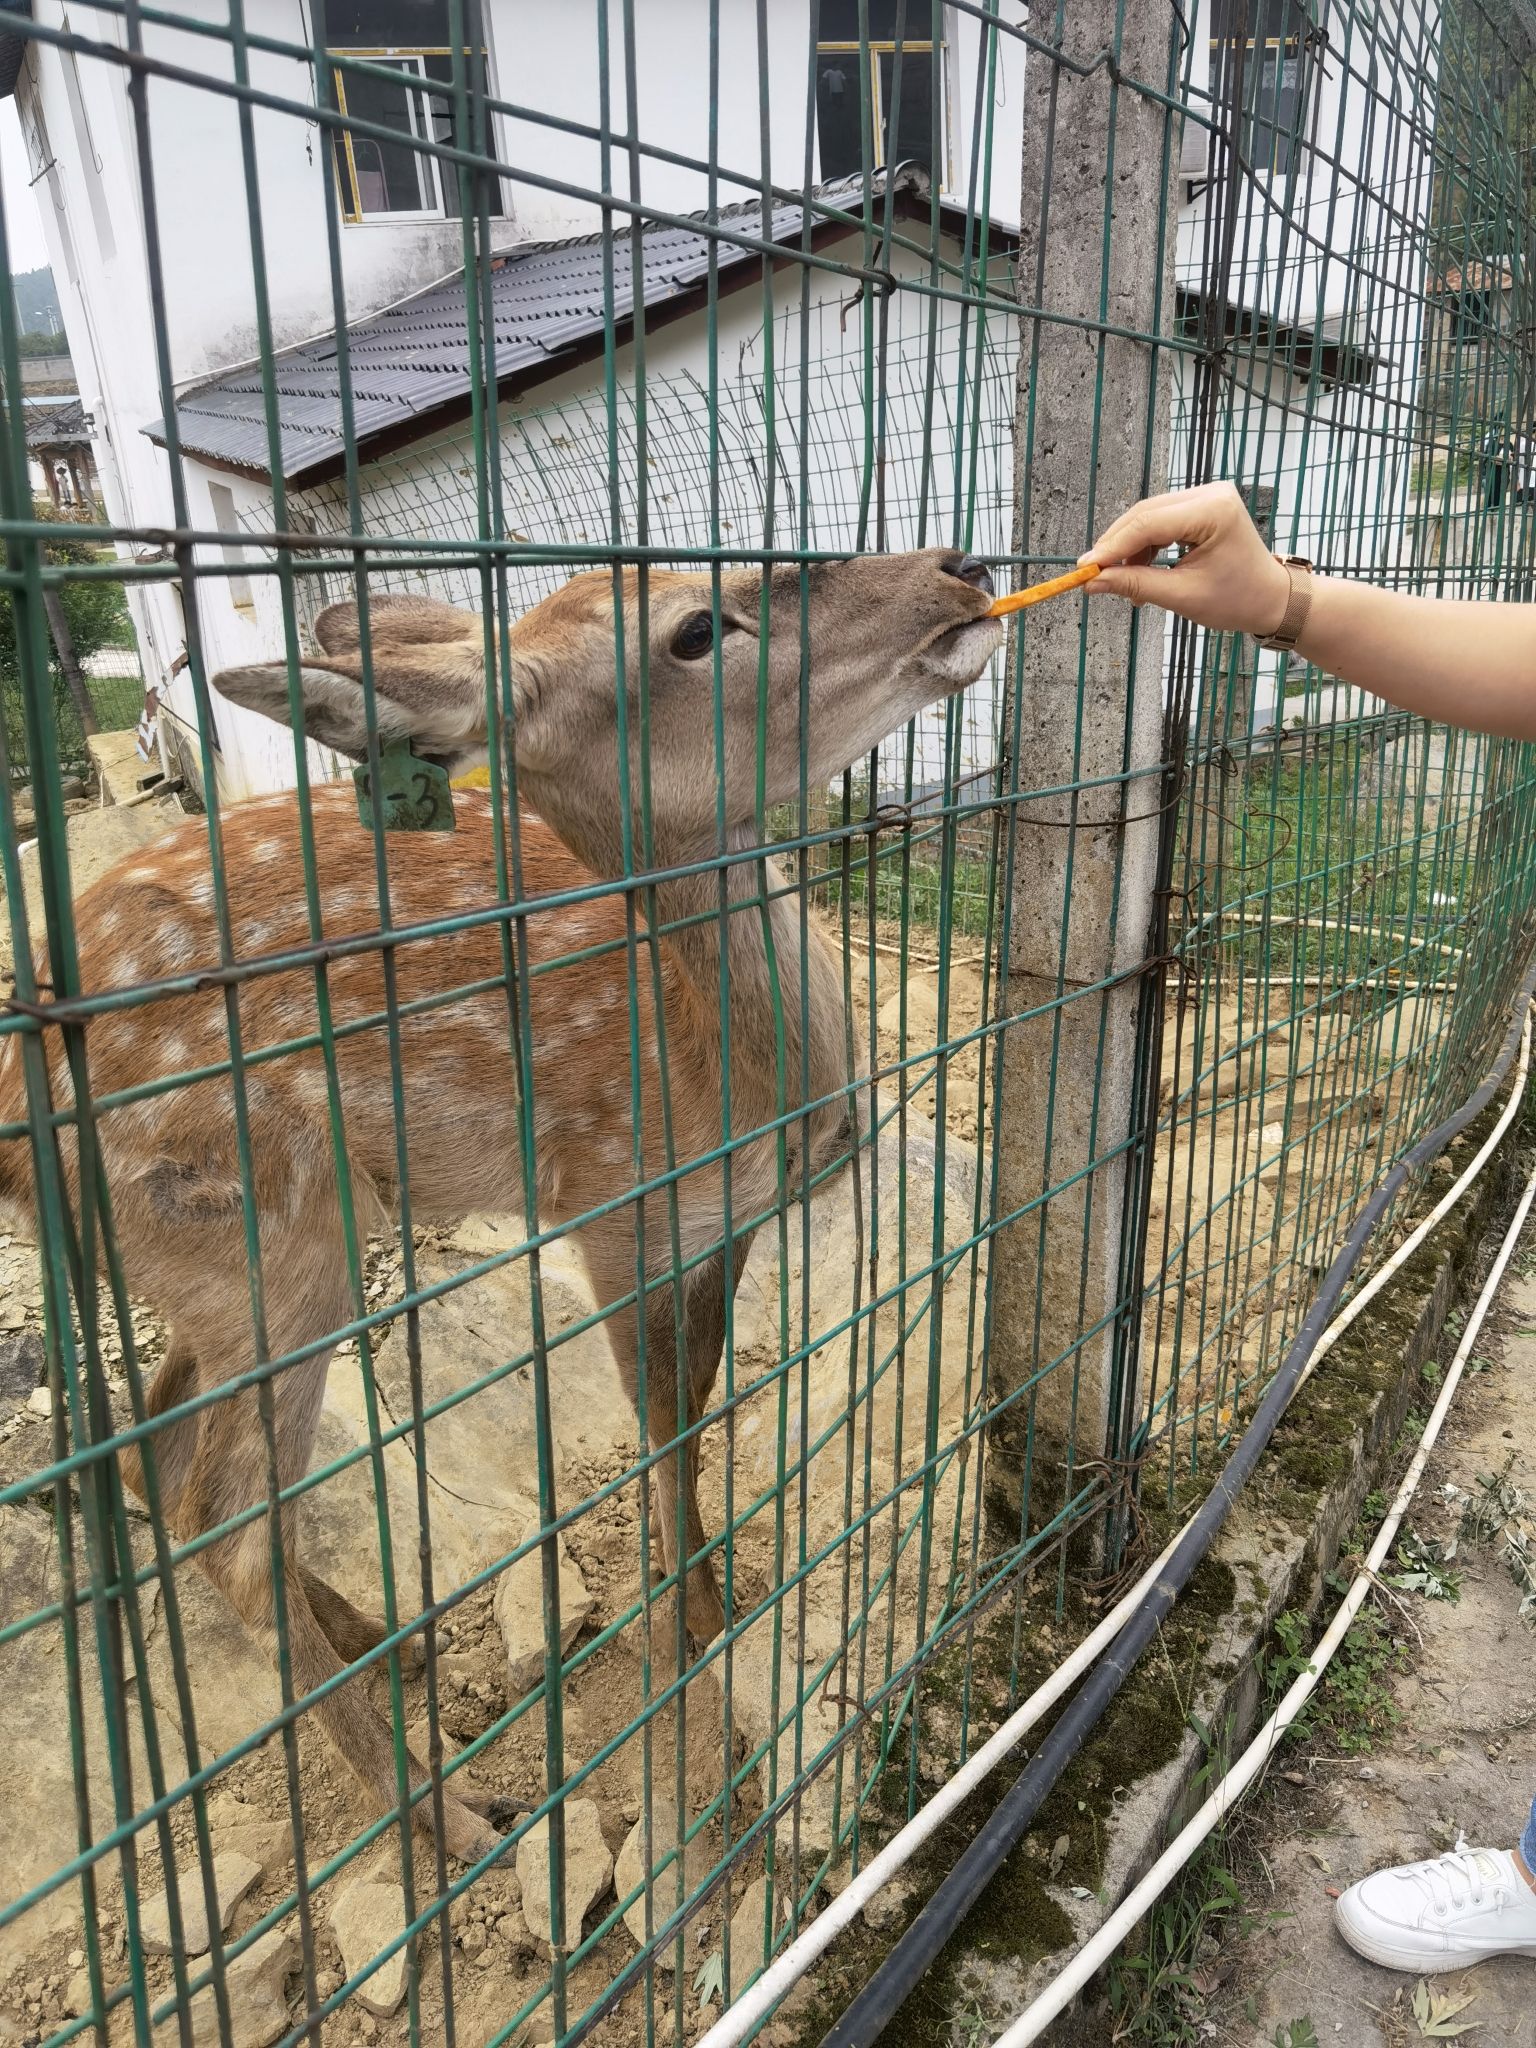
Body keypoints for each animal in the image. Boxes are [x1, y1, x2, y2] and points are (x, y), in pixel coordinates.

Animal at [0, 549, 999, 1866]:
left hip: (202, 1261)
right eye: (695, 628)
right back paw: (449, 1812)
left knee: (159, 1435)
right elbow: (662, 1428)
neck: (721, 1084)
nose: (958, 568)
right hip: (275, 1223)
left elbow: (700, 1405)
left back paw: (388, 1641)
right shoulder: (607, 1208)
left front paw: (710, 1594)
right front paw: (698, 1627)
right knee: (225, 1512)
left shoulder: (722, 1229)